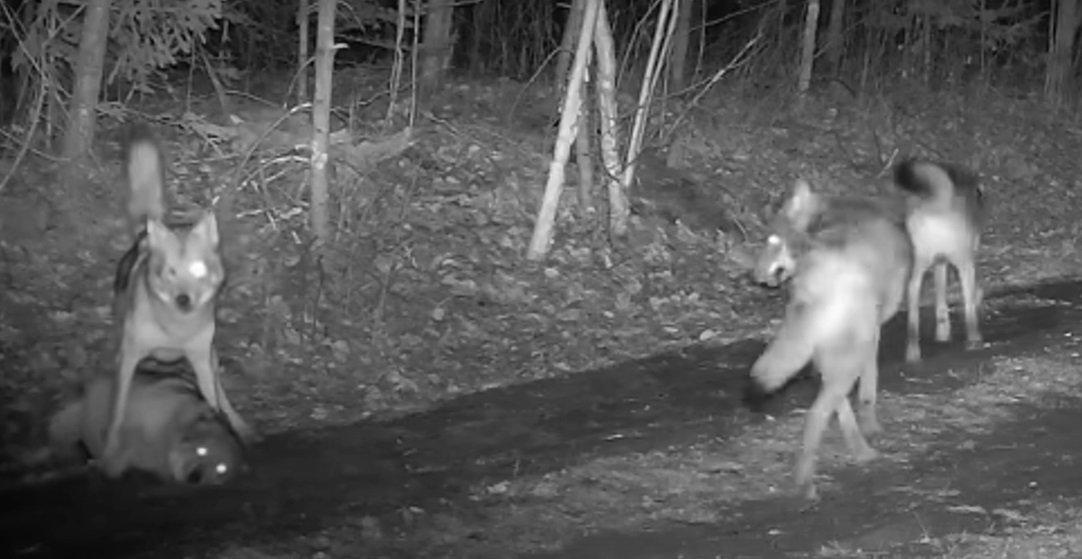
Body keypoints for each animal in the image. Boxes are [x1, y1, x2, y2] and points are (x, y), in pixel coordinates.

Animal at [104, 124, 257, 473]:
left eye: (198, 270)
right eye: (171, 272)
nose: (184, 300)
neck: (175, 330)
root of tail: (145, 235)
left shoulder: (200, 360)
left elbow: (214, 405)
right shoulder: (128, 358)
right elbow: (116, 414)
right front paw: (109, 451)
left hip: (210, 358)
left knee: (223, 395)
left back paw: (243, 428)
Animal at [753, 177, 913, 497]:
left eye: (773, 242)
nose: (756, 277)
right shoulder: (873, 331)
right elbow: (868, 389)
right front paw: (872, 425)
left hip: (826, 350)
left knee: (829, 402)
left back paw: (855, 452)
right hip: (850, 349)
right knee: (816, 414)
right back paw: (810, 482)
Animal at [891, 158, 986, 358]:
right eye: (980, 192)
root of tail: (934, 207)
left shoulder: (940, 263)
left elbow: (940, 299)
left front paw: (942, 332)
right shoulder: (963, 260)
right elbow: (971, 296)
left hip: (918, 267)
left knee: (913, 304)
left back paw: (912, 351)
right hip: (962, 262)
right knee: (969, 307)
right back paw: (974, 339)